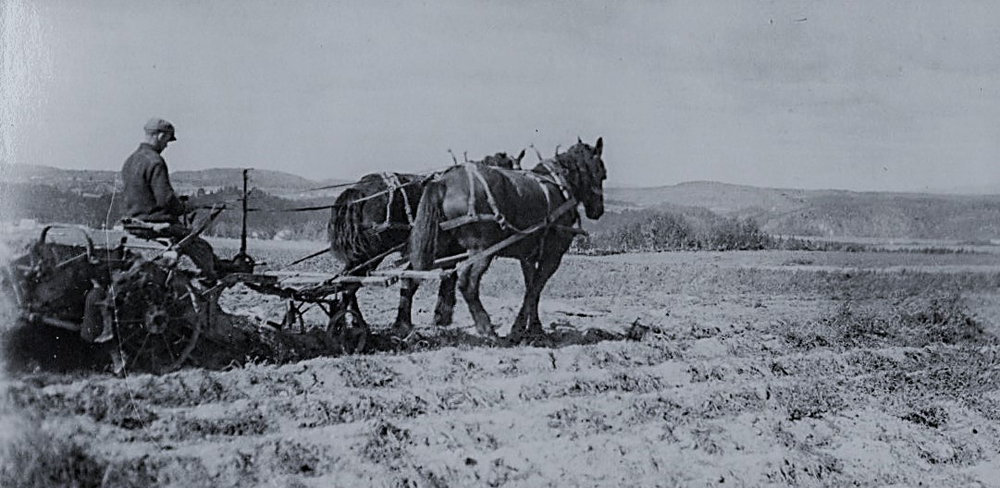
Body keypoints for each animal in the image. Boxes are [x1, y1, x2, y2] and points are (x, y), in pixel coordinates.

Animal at [328, 151, 528, 338]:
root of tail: (358, 192)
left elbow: (434, 278)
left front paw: (436, 317)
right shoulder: (450, 252)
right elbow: (438, 279)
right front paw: (437, 316)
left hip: (361, 254)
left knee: (345, 281)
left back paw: (350, 321)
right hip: (371, 253)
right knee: (349, 283)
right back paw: (353, 324)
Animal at [402, 137, 604, 344]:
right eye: (602, 173)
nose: (598, 210)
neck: (560, 186)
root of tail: (443, 183)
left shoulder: (528, 256)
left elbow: (530, 288)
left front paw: (533, 327)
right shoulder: (552, 256)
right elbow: (535, 288)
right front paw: (520, 328)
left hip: (438, 245)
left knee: (411, 275)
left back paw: (402, 325)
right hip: (481, 250)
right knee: (468, 284)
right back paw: (486, 328)